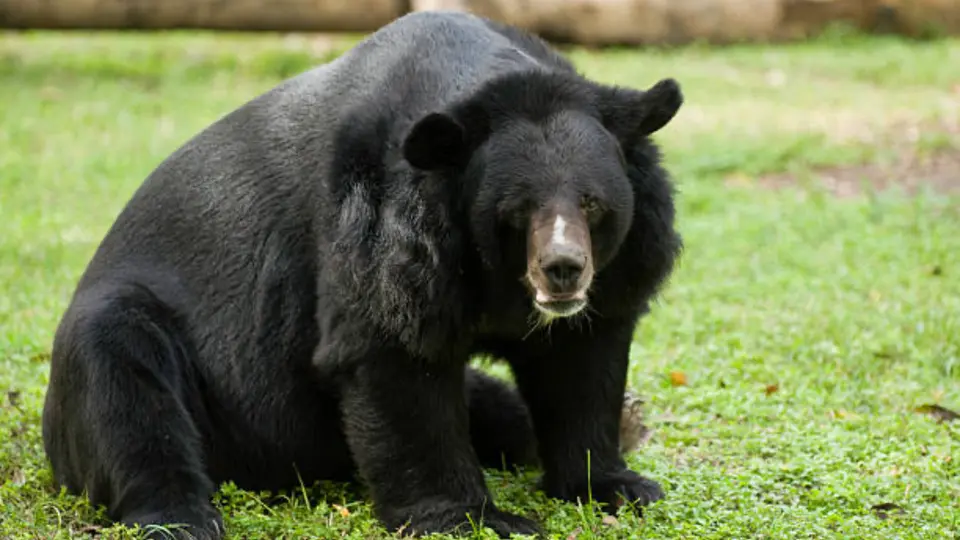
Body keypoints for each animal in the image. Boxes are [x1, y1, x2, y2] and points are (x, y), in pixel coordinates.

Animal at [40, 10, 683, 539]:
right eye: (517, 211)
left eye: (592, 204)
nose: (562, 271)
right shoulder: (382, 230)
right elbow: (391, 354)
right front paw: (478, 519)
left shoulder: (618, 271)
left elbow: (581, 361)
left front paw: (616, 484)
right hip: (136, 345)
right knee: (126, 384)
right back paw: (182, 518)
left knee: (497, 409)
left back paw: (628, 422)